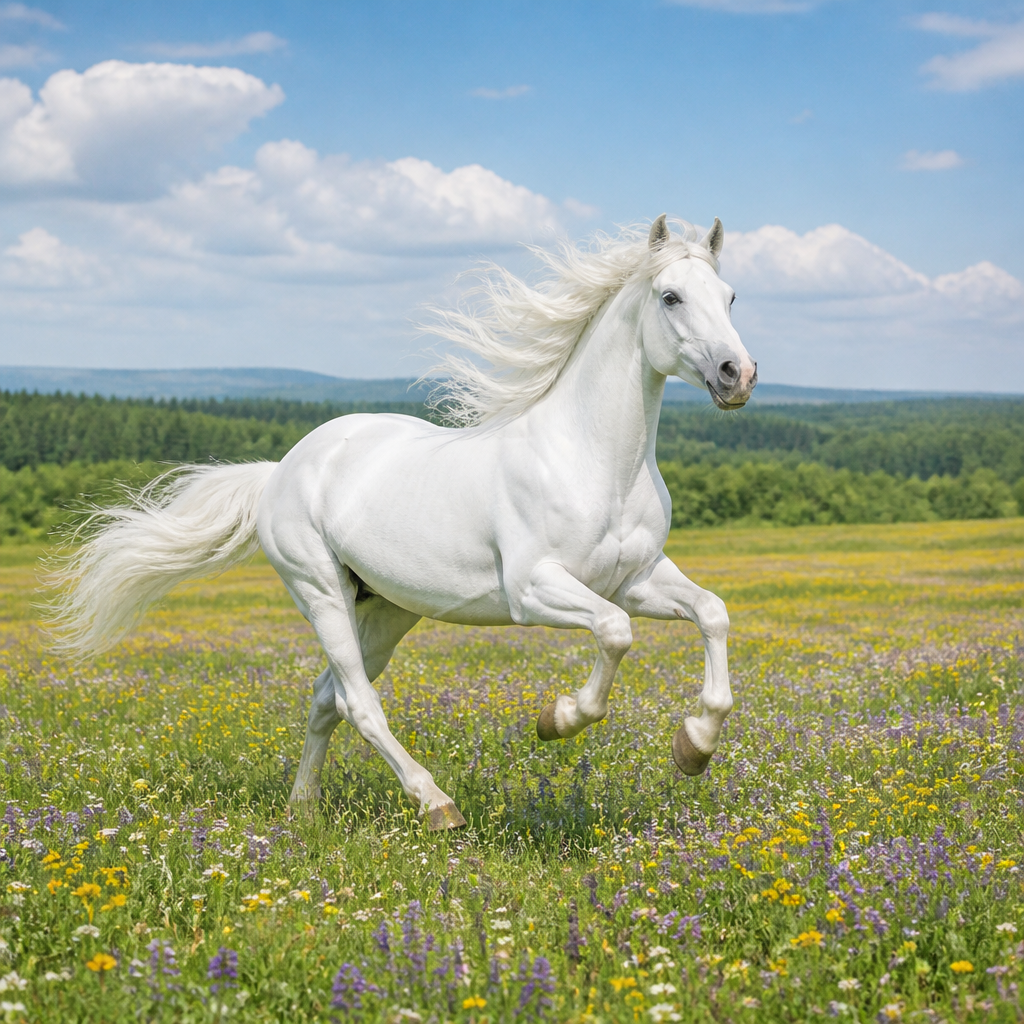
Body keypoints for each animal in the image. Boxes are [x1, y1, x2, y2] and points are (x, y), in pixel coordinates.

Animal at [50, 215, 757, 830]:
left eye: (729, 296)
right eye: (670, 296)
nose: (738, 374)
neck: (594, 461)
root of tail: (281, 469)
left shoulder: (634, 579)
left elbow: (713, 613)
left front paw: (694, 747)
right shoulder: (535, 589)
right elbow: (614, 635)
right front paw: (556, 720)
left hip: (387, 609)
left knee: (325, 697)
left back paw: (303, 811)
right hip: (321, 592)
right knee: (357, 701)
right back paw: (436, 805)